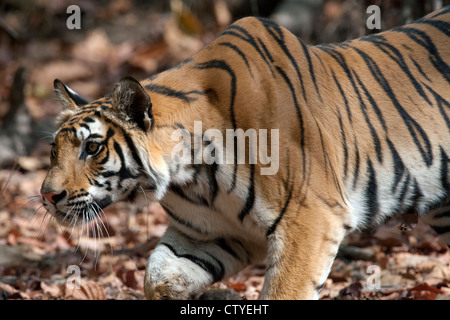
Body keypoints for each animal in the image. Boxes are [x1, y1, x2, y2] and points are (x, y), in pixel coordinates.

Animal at [41, 5, 450, 300]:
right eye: (53, 150)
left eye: (92, 147)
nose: (48, 196)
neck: (191, 175)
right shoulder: (210, 235)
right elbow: (158, 276)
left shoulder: (310, 219)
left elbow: (285, 292)